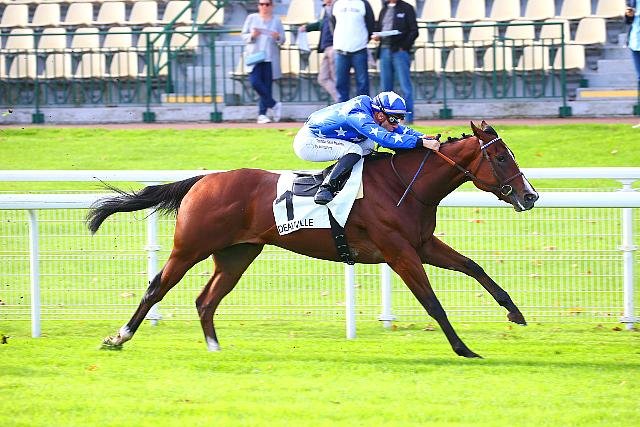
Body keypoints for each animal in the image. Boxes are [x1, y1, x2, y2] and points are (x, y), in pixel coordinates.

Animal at [88, 121, 538, 358]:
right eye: (501, 157)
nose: (530, 195)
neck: (403, 185)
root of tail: (203, 180)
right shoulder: (399, 252)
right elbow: (432, 302)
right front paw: (464, 349)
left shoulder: (423, 245)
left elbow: (474, 267)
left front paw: (515, 313)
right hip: (190, 247)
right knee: (156, 288)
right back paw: (118, 337)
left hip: (237, 254)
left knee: (206, 300)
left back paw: (215, 348)